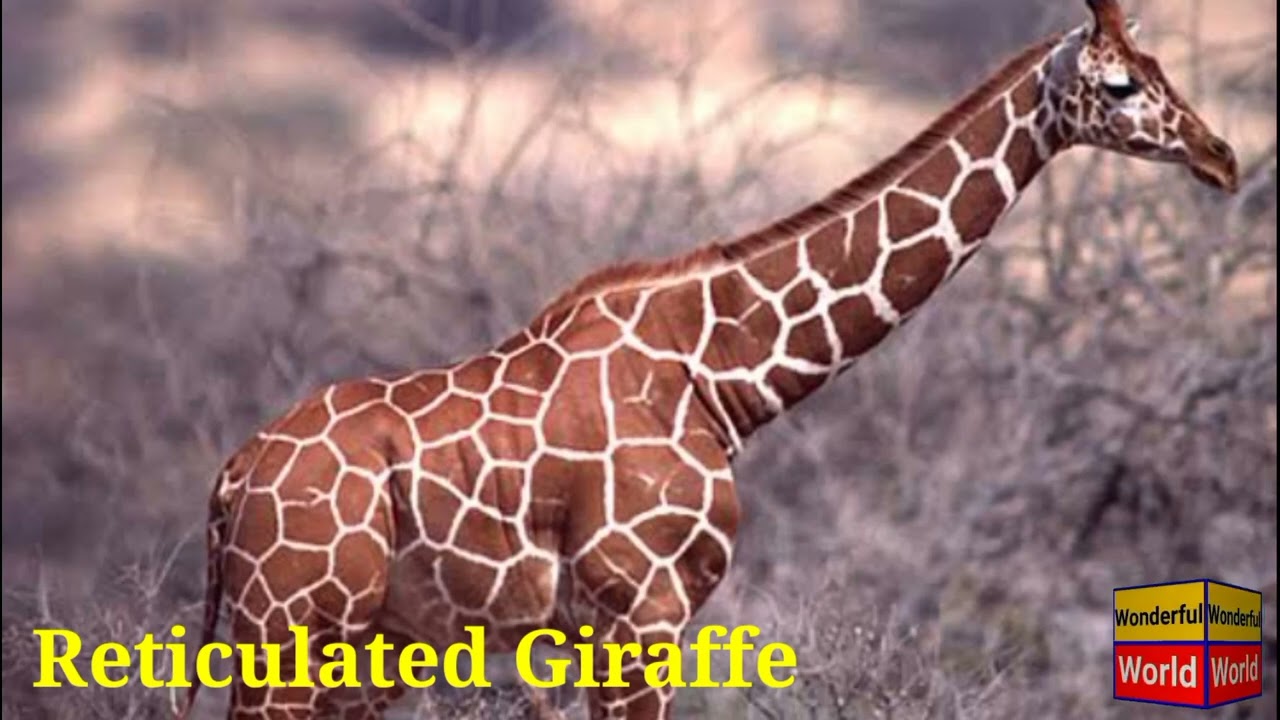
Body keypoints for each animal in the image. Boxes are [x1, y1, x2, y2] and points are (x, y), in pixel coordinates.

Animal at [181, 1, 1239, 718]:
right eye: (1120, 84)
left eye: (1160, 65)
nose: (1221, 157)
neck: (722, 374)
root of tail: (232, 481)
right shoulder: (640, 611)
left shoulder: (609, 628)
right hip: (292, 632)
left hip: (360, 648)